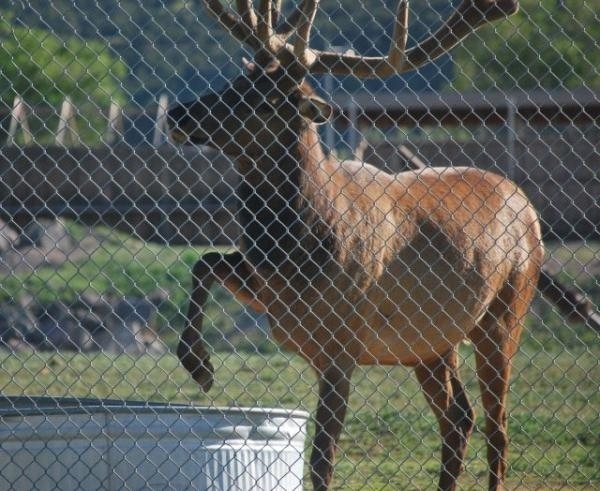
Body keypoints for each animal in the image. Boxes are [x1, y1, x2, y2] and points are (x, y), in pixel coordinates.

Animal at [168, 1, 544, 490]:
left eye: (267, 100)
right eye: (235, 82)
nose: (179, 115)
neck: (300, 246)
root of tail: (527, 206)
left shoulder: (342, 342)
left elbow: (322, 458)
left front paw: (200, 365)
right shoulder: (270, 291)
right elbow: (205, 262)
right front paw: (199, 365)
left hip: (506, 311)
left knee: (498, 426)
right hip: (431, 343)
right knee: (459, 418)